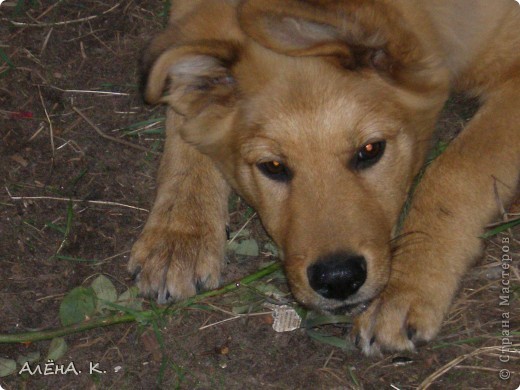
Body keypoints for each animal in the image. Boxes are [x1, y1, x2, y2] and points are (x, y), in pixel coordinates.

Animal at [127, 0, 520, 354]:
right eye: (273, 167)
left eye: (370, 149)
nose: (339, 279)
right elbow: (183, 108)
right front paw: (180, 233)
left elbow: (457, 167)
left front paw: (407, 286)